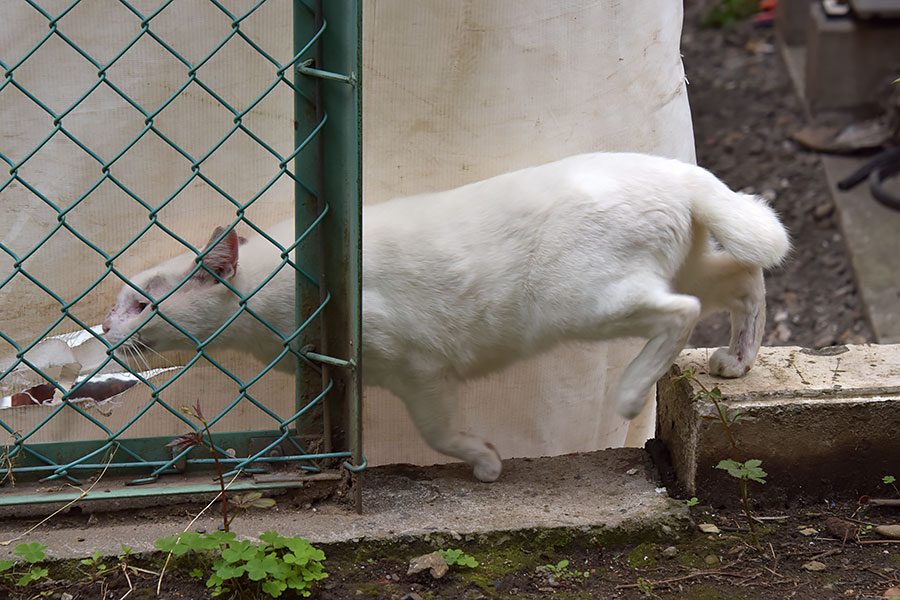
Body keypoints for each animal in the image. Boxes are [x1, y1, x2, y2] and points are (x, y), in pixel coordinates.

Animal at [105, 154, 788, 482]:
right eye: (117, 303)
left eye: (140, 304)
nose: (108, 328)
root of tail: (681, 172)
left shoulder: (419, 370)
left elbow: (437, 434)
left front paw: (483, 460)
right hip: (680, 268)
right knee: (745, 279)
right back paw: (738, 360)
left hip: (586, 301)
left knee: (683, 311)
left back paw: (629, 394)